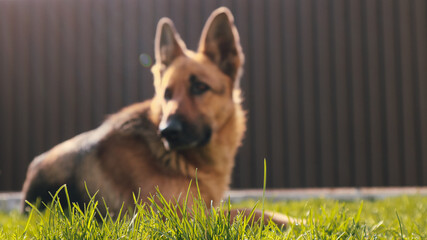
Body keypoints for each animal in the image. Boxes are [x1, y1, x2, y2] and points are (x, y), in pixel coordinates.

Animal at [21, 7, 292, 225]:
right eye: (167, 94)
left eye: (199, 87)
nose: (167, 131)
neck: (179, 160)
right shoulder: (176, 216)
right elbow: (247, 211)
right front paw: (292, 222)